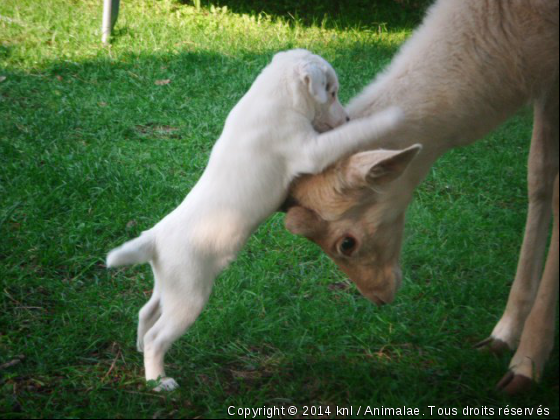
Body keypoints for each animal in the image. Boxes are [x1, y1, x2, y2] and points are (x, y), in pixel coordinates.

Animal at [106, 48, 402, 390]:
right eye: (332, 92)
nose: (348, 116)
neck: (273, 97)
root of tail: (153, 238)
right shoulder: (311, 150)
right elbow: (347, 136)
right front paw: (387, 117)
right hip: (188, 295)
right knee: (158, 335)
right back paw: (158, 380)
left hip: (169, 285)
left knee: (146, 311)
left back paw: (140, 349)